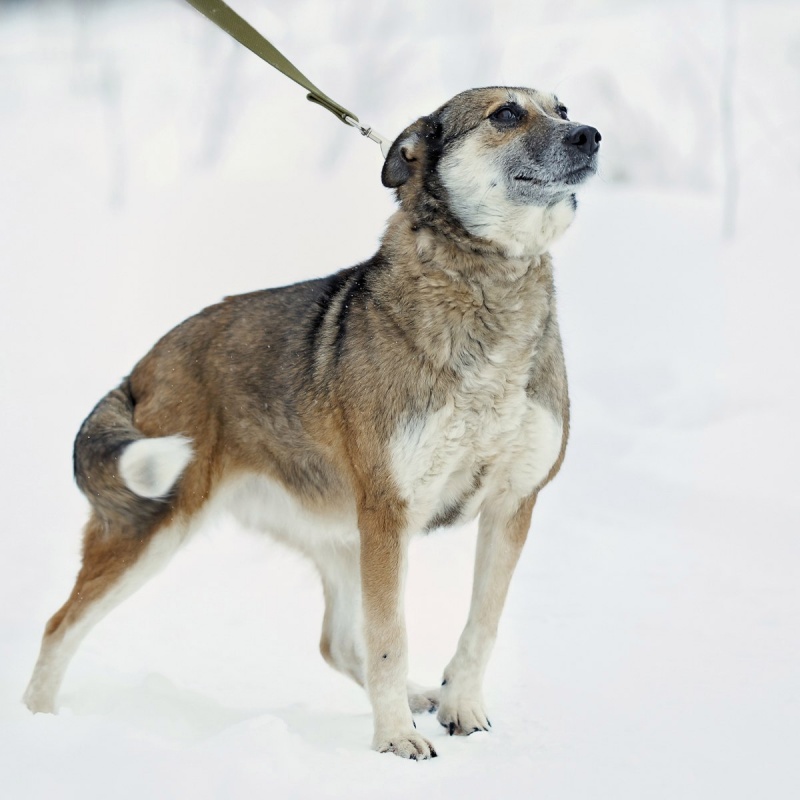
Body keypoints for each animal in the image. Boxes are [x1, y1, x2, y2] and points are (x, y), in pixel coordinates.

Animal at [23, 87, 600, 764]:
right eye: (506, 114)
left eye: (562, 109)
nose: (590, 136)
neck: (491, 290)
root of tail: (143, 366)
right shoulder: (390, 512)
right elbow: (390, 636)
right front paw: (395, 740)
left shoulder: (511, 502)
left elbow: (481, 622)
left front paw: (459, 706)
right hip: (157, 527)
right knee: (59, 624)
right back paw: (37, 719)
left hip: (340, 537)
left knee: (338, 643)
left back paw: (420, 694)